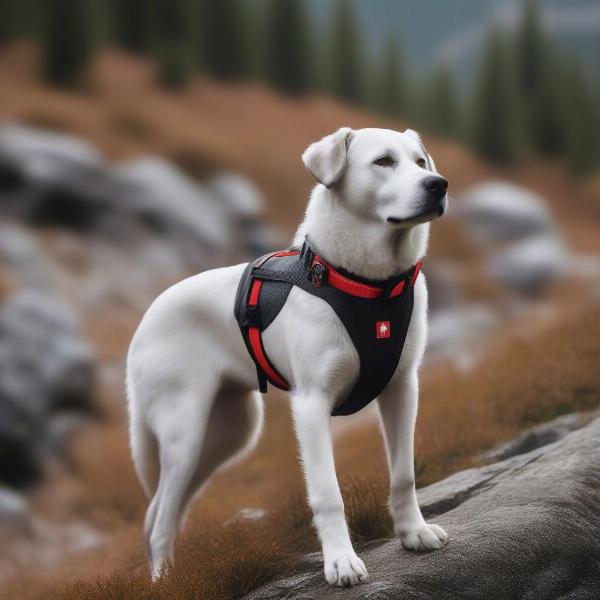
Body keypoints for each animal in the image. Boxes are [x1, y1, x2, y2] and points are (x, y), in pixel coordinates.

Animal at [126, 125, 448, 584]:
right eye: (384, 161)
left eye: (421, 162)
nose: (438, 185)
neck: (368, 284)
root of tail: (145, 319)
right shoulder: (312, 404)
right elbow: (329, 493)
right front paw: (340, 561)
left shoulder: (402, 389)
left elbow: (404, 474)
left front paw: (413, 533)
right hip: (184, 434)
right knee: (159, 522)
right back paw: (164, 585)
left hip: (225, 436)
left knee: (162, 511)